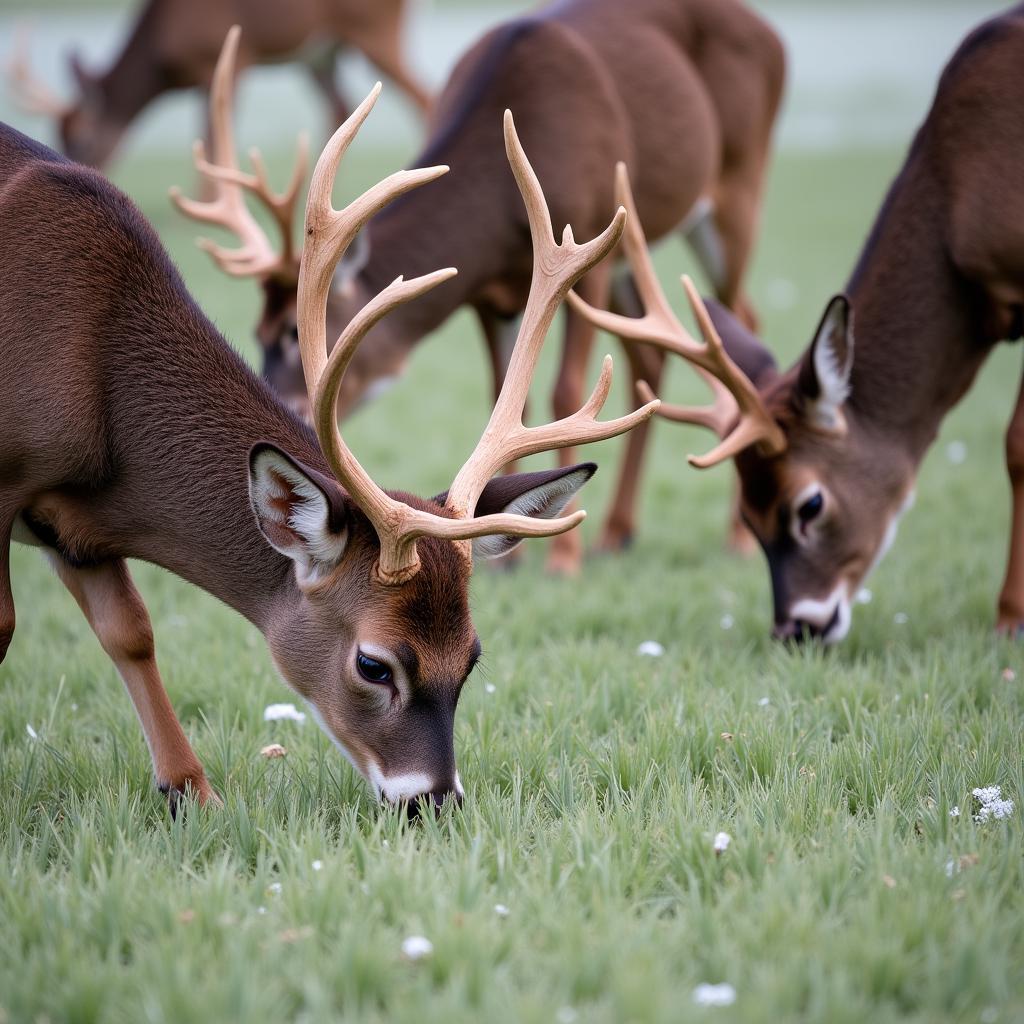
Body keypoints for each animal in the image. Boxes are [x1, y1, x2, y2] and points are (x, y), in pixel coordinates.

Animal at [0, 88, 655, 815]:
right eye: (373, 663)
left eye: (473, 656)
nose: (434, 800)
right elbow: (9, 625)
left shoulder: (73, 528)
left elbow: (131, 630)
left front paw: (191, 794)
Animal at [4, 0, 428, 169]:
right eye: (58, 136)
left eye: (84, 139)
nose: (81, 170)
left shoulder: (226, 60)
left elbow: (213, 138)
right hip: (321, 55)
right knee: (339, 106)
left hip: (374, 32)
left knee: (424, 99)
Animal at [174, 0, 782, 577]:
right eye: (257, 331)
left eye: (293, 336)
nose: (284, 411)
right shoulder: (488, 295)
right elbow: (505, 393)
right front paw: (508, 557)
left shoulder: (589, 246)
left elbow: (564, 390)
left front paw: (563, 561)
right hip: (638, 255)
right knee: (651, 357)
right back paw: (617, 534)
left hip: (735, 189)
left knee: (742, 316)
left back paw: (734, 538)